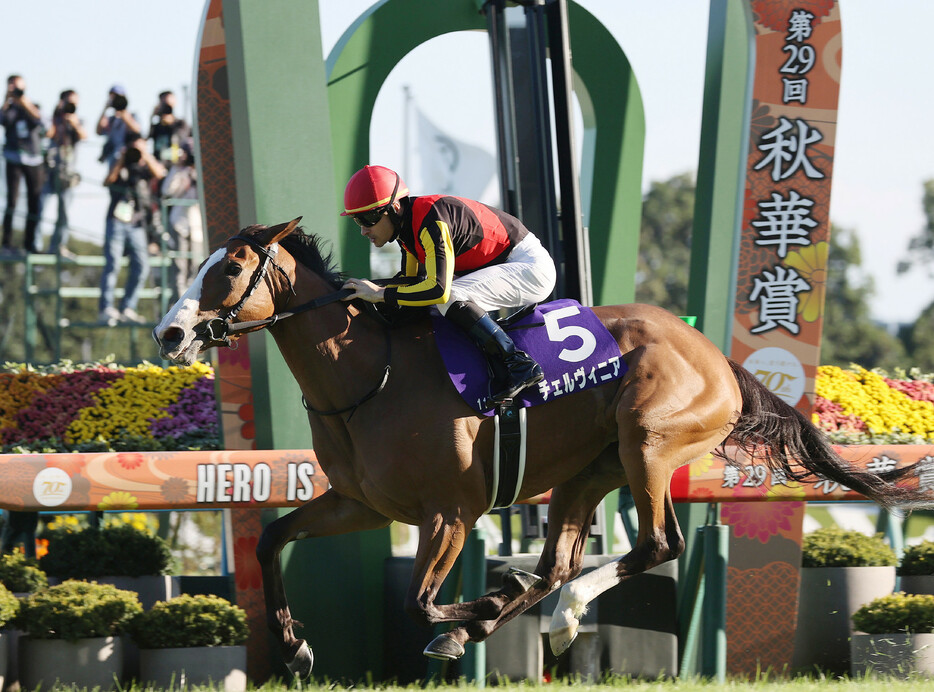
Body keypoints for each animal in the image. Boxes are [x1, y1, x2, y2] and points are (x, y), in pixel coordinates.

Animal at [154, 220, 928, 676]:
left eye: (230, 270)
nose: (169, 333)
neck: (369, 376)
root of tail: (717, 355)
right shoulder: (361, 504)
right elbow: (271, 540)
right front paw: (294, 645)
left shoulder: (451, 512)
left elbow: (421, 605)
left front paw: (476, 612)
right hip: (588, 472)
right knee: (565, 559)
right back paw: (549, 612)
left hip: (648, 441)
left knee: (658, 545)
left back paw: (549, 611)